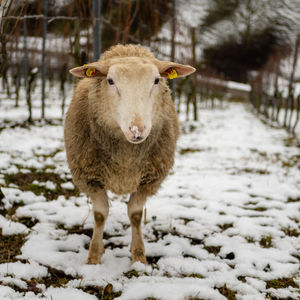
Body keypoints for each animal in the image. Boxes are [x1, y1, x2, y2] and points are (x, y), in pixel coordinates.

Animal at [64, 43, 196, 264]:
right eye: (110, 80)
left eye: (156, 80)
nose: (137, 130)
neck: (125, 158)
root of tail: (127, 47)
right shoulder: (90, 178)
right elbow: (100, 215)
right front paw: (94, 257)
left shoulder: (148, 180)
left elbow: (135, 215)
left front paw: (139, 257)